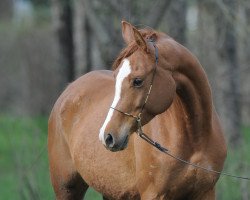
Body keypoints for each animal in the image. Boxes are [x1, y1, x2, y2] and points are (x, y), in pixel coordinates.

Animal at [48, 21, 227, 199]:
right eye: (115, 77)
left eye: (137, 81)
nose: (107, 136)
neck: (195, 140)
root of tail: (69, 89)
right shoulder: (153, 194)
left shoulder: (206, 192)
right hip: (67, 188)